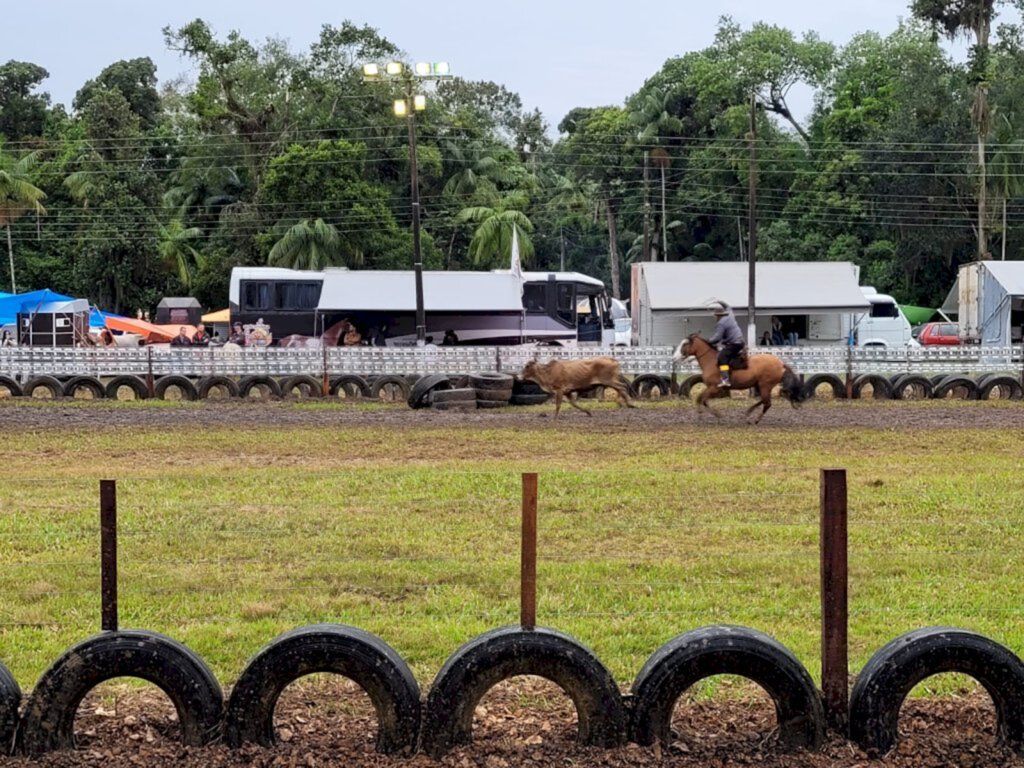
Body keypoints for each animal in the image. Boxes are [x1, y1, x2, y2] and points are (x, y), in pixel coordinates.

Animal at [671, 333, 806, 423]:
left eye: (685, 344)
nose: (674, 357)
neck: (711, 361)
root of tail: (780, 363)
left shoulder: (715, 388)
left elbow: (702, 399)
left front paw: (715, 415)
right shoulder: (712, 388)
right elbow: (701, 399)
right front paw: (707, 415)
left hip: (765, 385)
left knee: (767, 403)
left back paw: (755, 420)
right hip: (760, 385)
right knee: (765, 400)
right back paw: (748, 413)